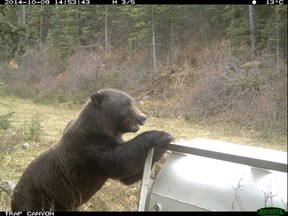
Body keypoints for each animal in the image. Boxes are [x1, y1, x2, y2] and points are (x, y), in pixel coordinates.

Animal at [11, 88, 174, 211]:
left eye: (132, 101)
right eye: (126, 104)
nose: (143, 117)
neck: (103, 128)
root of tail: (14, 192)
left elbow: (129, 176)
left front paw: (162, 151)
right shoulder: (87, 149)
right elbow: (120, 162)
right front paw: (163, 135)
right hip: (36, 195)